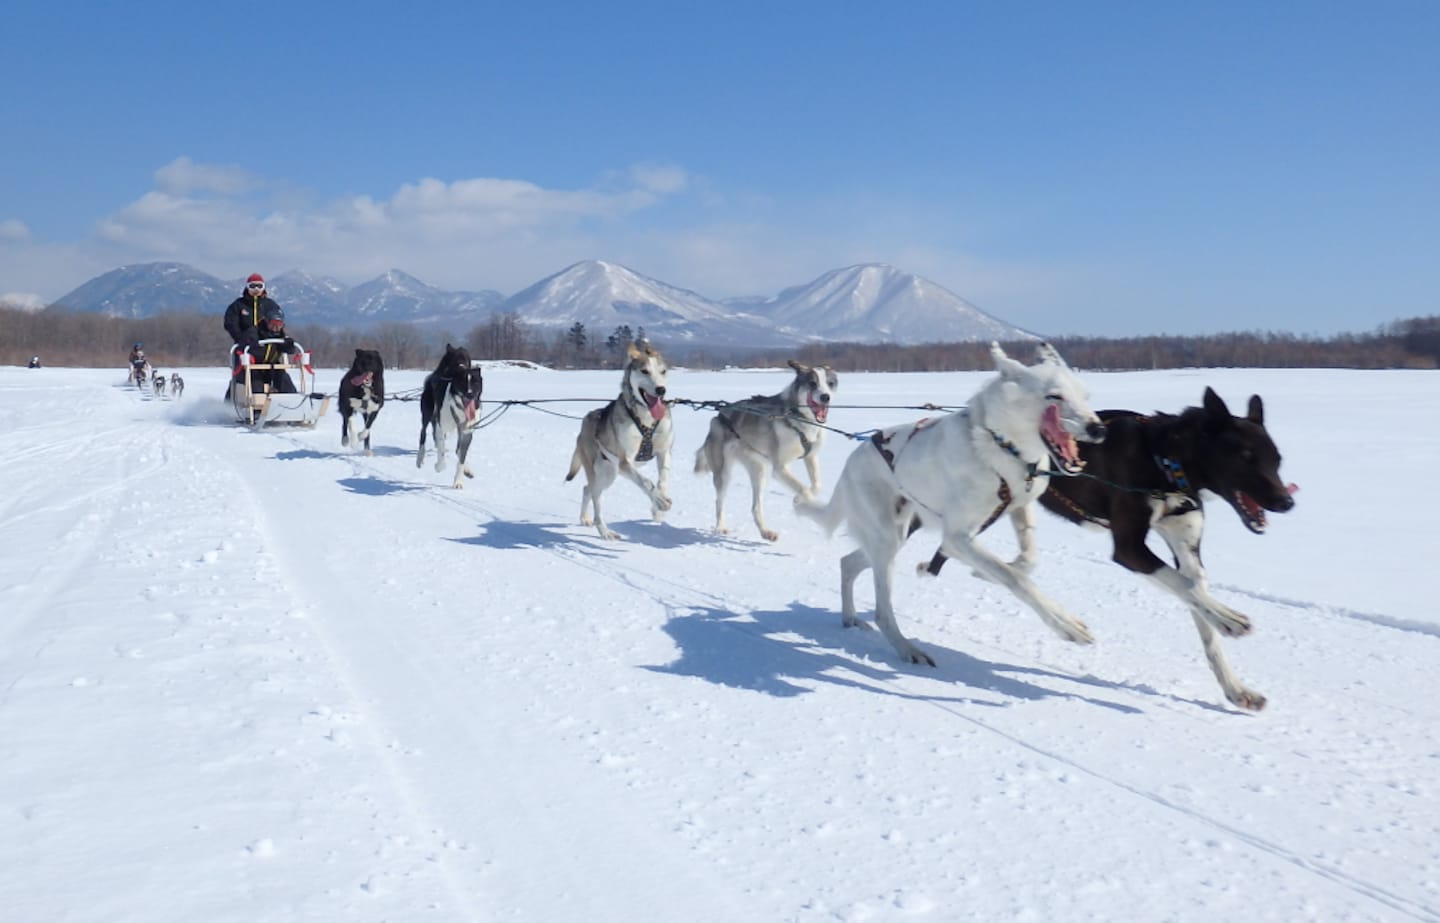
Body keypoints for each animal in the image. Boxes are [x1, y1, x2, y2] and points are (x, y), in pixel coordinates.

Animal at [417, 344, 483, 489]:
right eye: (463, 383)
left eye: (475, 382)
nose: (470, 394)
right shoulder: (441, 427)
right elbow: (441, 450)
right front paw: (439, 466)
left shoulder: (467, 432)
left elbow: (461, 457)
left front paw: (458, 480)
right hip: (427, 414)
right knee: (423, 434)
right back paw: (420, 458)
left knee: (458, 450)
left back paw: (467, 470)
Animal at [561, 339, 673, 541]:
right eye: (644, 371)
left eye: (663, 371)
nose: (661, 390)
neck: (646, 419)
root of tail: (586, 421)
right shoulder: (625, 461)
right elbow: (646, 482)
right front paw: (660, 501)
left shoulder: (664, 451)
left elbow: (662, 481)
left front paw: (658, 508)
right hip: (604, 472)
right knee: (596, 499)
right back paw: (604, 531)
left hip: (608, 475)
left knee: (587, 489)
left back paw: (585, 518)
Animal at [691, 358, 840, 541]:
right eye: (812, 383)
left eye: (830, 383)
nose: (826, 397)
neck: (798, 418)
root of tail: (718, 416)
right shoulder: (780, 468)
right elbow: (804, 488)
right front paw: (806, 504)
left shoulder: (810, 456)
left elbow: (816, 485)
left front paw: (800, 499)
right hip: (723, 473)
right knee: (719, 501)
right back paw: (720, 527)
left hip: (759, 471)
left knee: (756, 507)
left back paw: (765, 531)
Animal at [794, 345, 1105, 668]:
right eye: (1055, 396)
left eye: (1085, 396)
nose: (1098, 428)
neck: (997, 445)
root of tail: (850, 463)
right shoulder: (957, 538)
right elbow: (1015, 579)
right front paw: (1065, 623)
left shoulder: (1019, 505)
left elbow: (1027, 558)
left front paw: (988, 572)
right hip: (886, 540)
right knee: (882, 611)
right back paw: (908, 649)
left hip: (894, 537)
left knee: (848, 563)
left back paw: (850, 618)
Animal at [927, 385, 1301, 708]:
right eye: (1246, 457)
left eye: (1277, 460)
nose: (1287, 503)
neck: (1164, 460)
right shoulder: (1130, 548)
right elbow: (1185, 587)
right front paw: (1229, 619)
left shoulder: (1187, 549)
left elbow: (1198, 602)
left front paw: (1237, 689)